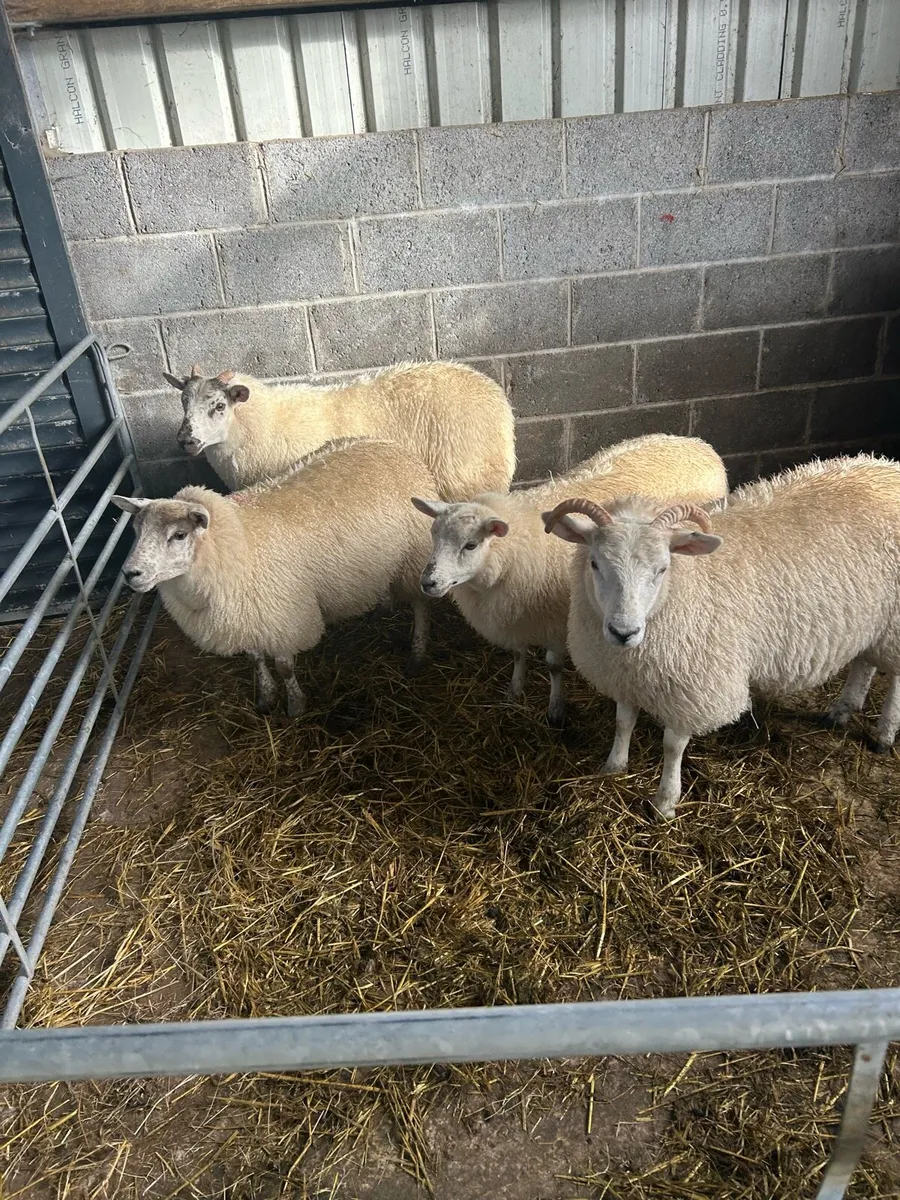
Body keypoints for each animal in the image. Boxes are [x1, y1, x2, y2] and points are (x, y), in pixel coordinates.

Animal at [112, 438, 436, 715]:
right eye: (137, 530)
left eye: (179, 535)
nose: (130, 573)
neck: (236, 543)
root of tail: (393, 447)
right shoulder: (247, 616)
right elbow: (256, 658)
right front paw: (266, 696)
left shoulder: (283, 617)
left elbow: (284, 667)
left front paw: (295, 704)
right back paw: (382, 607)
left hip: (415, 558)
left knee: (421, 605)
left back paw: (418, 653)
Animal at [411, 433, 727, 727]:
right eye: (434, 535)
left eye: (471, 545)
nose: (428, 582)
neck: (515, 549)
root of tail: (696, 444)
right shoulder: (517, 616)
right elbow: (518, 653)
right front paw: (514, 691)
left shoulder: (556, 619)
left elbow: (553, 666)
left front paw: (555, 710)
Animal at [543, 454, 900, 820]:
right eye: (594, 563)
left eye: (662, 569)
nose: (623, 632)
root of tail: (887, 467)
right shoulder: (626, 674)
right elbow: (623, 722)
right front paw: (614, 767)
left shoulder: (693, 687)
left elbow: (673, 745)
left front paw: (665, 803)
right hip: (871, 619)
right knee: (865, 662)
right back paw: (842, 710)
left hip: (894, 624)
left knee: (894, 678)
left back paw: (884, 735)